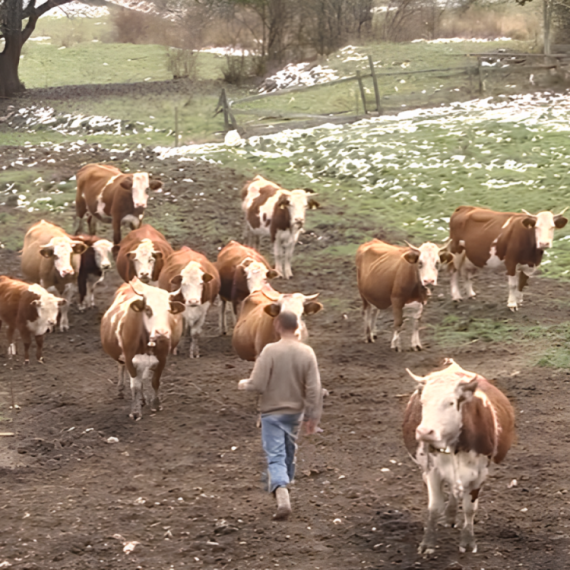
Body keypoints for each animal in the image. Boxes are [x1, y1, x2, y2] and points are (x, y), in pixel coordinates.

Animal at [100, 278, 183, 420]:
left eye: (169, 310)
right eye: (148, 309)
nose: (162, 332)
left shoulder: (162, 359)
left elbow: (155, 381)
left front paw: (156, 404)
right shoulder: (130, 360)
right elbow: (135, 386)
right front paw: (135, 412)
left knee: (142, 377)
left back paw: (143, 399)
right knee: (122, 366)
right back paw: (121, 389)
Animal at [400, 358, 516, 552]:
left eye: (451, 403)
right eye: (422, 402)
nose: (424, 432)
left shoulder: (480, 474)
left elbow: (470, 508)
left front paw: (468, 542)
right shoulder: (432, 471)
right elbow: (434, 507)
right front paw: (428, 542)